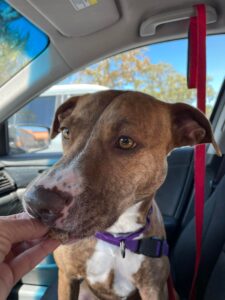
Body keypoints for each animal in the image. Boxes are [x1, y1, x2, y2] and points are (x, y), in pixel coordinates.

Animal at [22, 91, 220, 300]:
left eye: (126, 141)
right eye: (66, 131)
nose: (35, 202)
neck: (119, 237)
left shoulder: (153, 288)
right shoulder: (67, 277)